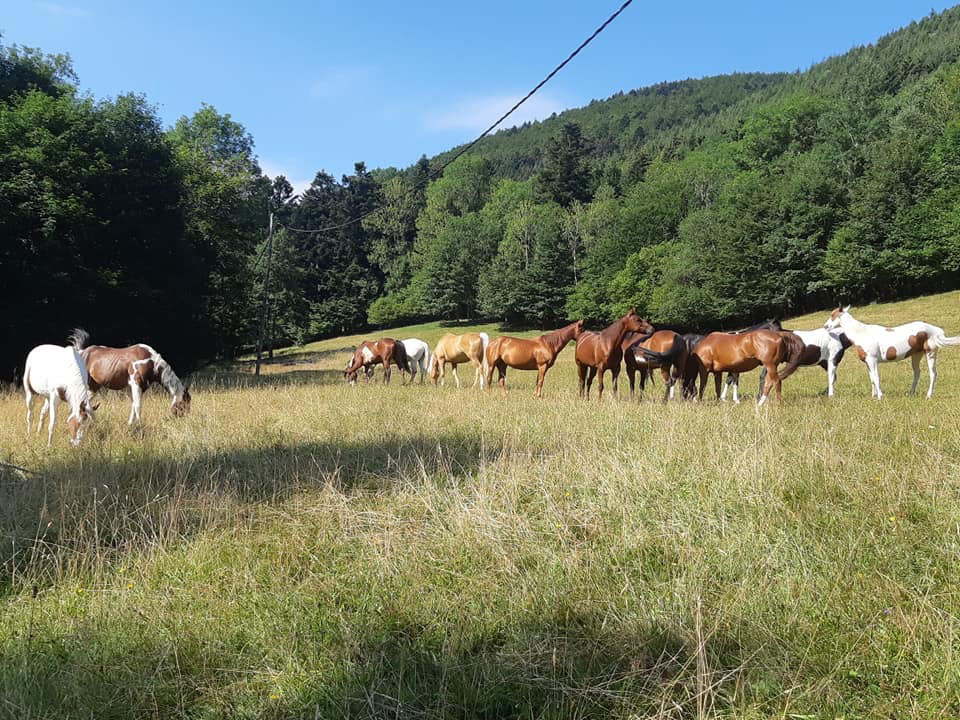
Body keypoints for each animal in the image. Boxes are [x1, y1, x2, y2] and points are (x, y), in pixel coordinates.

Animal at [820, 306, 960, 400]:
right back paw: (910, 393)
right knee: (917, 373)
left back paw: (928, 395)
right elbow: (872, 379)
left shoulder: (873, 360)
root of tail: (936, 330)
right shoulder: (867, 362)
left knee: (933, 374)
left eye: (832, 315)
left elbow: (876, 377)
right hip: (916, 355)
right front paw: (873, 396)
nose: (825, 326)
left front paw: (880, 397)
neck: (862, 333)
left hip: (930, 353)